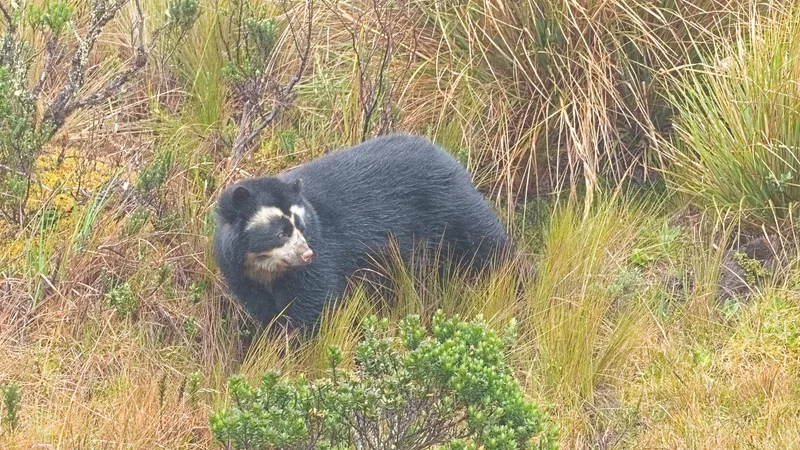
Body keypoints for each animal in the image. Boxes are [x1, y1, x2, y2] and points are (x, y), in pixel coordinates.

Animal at [213, 133, 514, 330]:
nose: (307, 254)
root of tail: (451, 159)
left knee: (487, 244)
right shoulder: (240, 274)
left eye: (301, 226)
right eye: (280, 232)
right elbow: (264, 310)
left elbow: (314, 303)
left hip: (451, 208)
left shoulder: (322, 257)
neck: (265, 268)